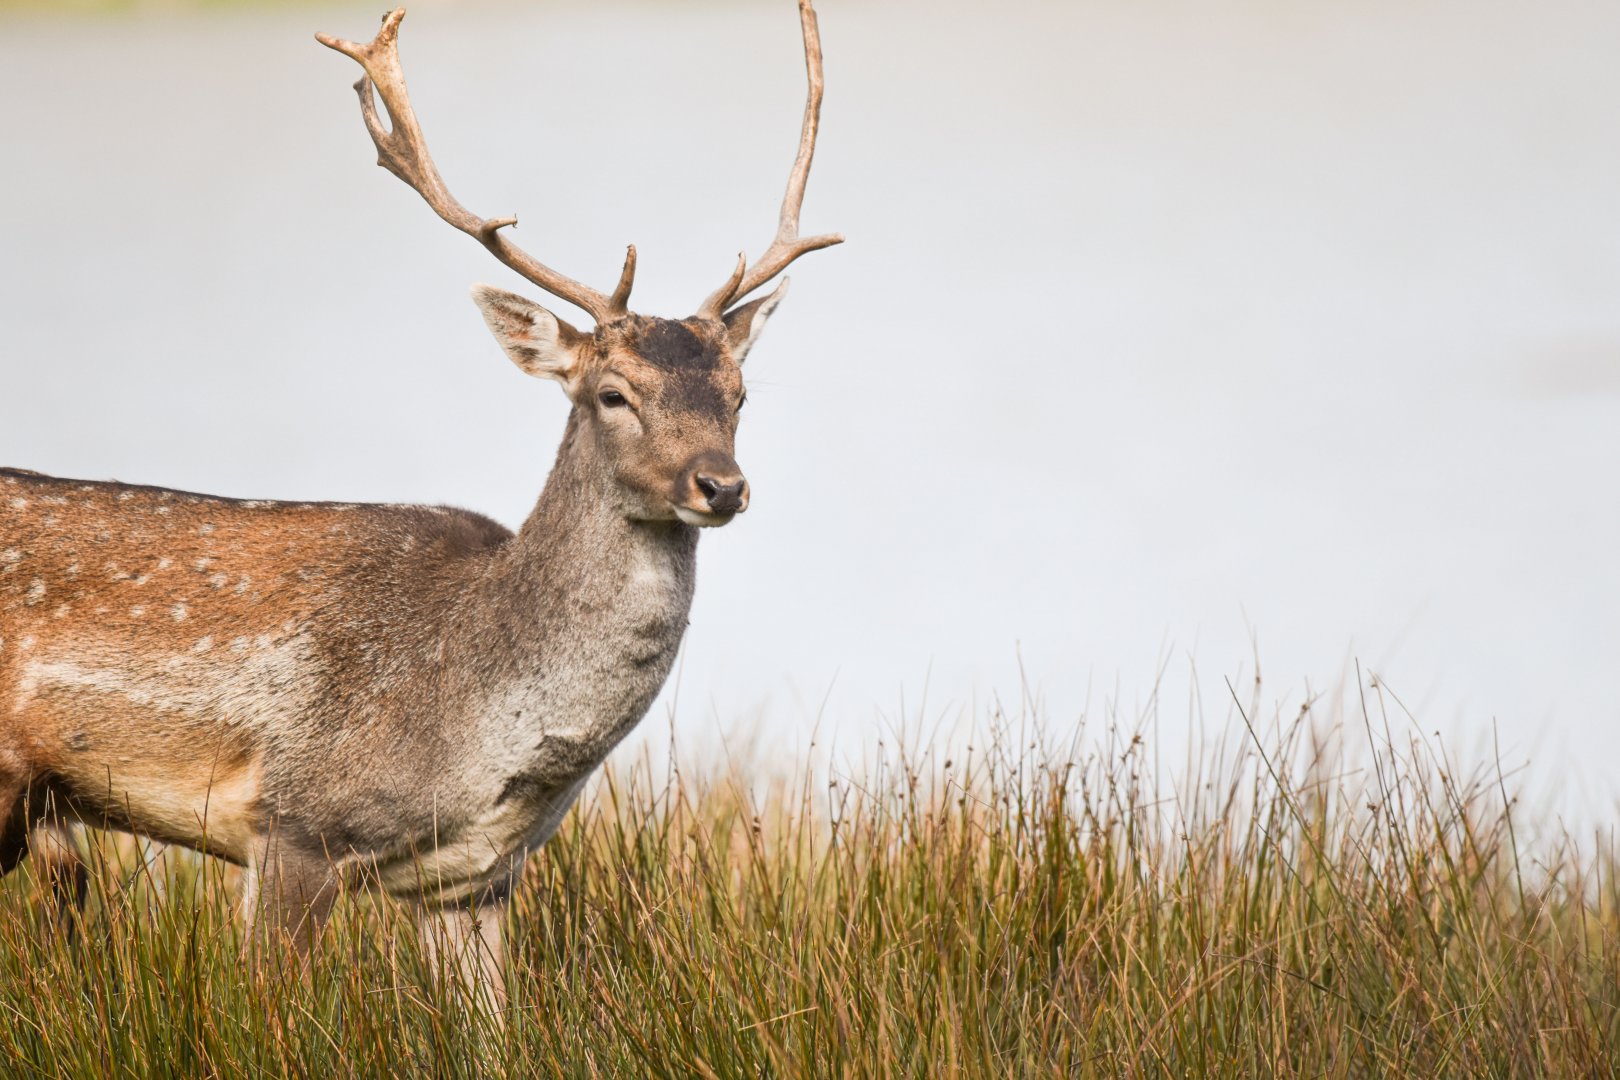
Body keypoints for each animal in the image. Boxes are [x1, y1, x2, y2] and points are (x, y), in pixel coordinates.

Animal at [0, 0, 839, 1002]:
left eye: (739, 395)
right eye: (613, 393)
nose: (721, 485)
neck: (476, 724)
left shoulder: (475, 879)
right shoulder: (294, 822)